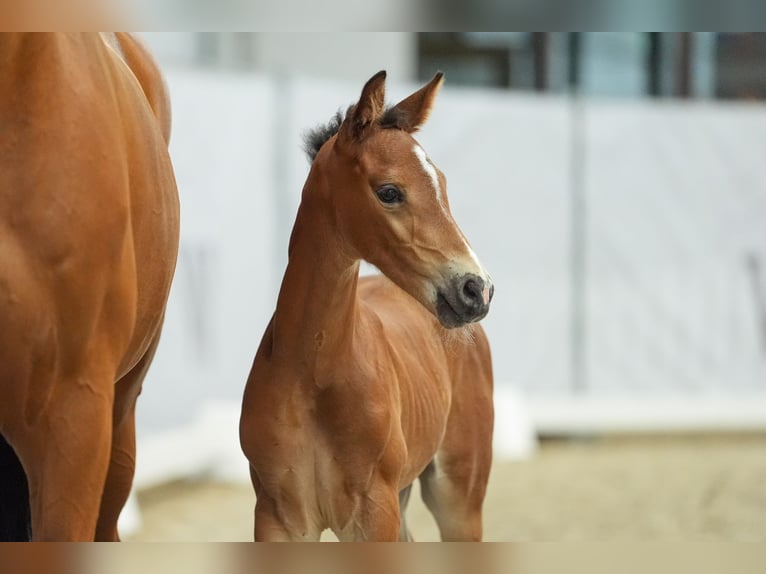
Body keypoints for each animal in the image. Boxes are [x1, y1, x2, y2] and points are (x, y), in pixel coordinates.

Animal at [242, 70, 498, 544]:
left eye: (442, 186)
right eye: (390, 191)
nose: (477, 289)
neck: (312, 373)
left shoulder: (373, 515)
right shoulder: (278, 518)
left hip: (458, 497)